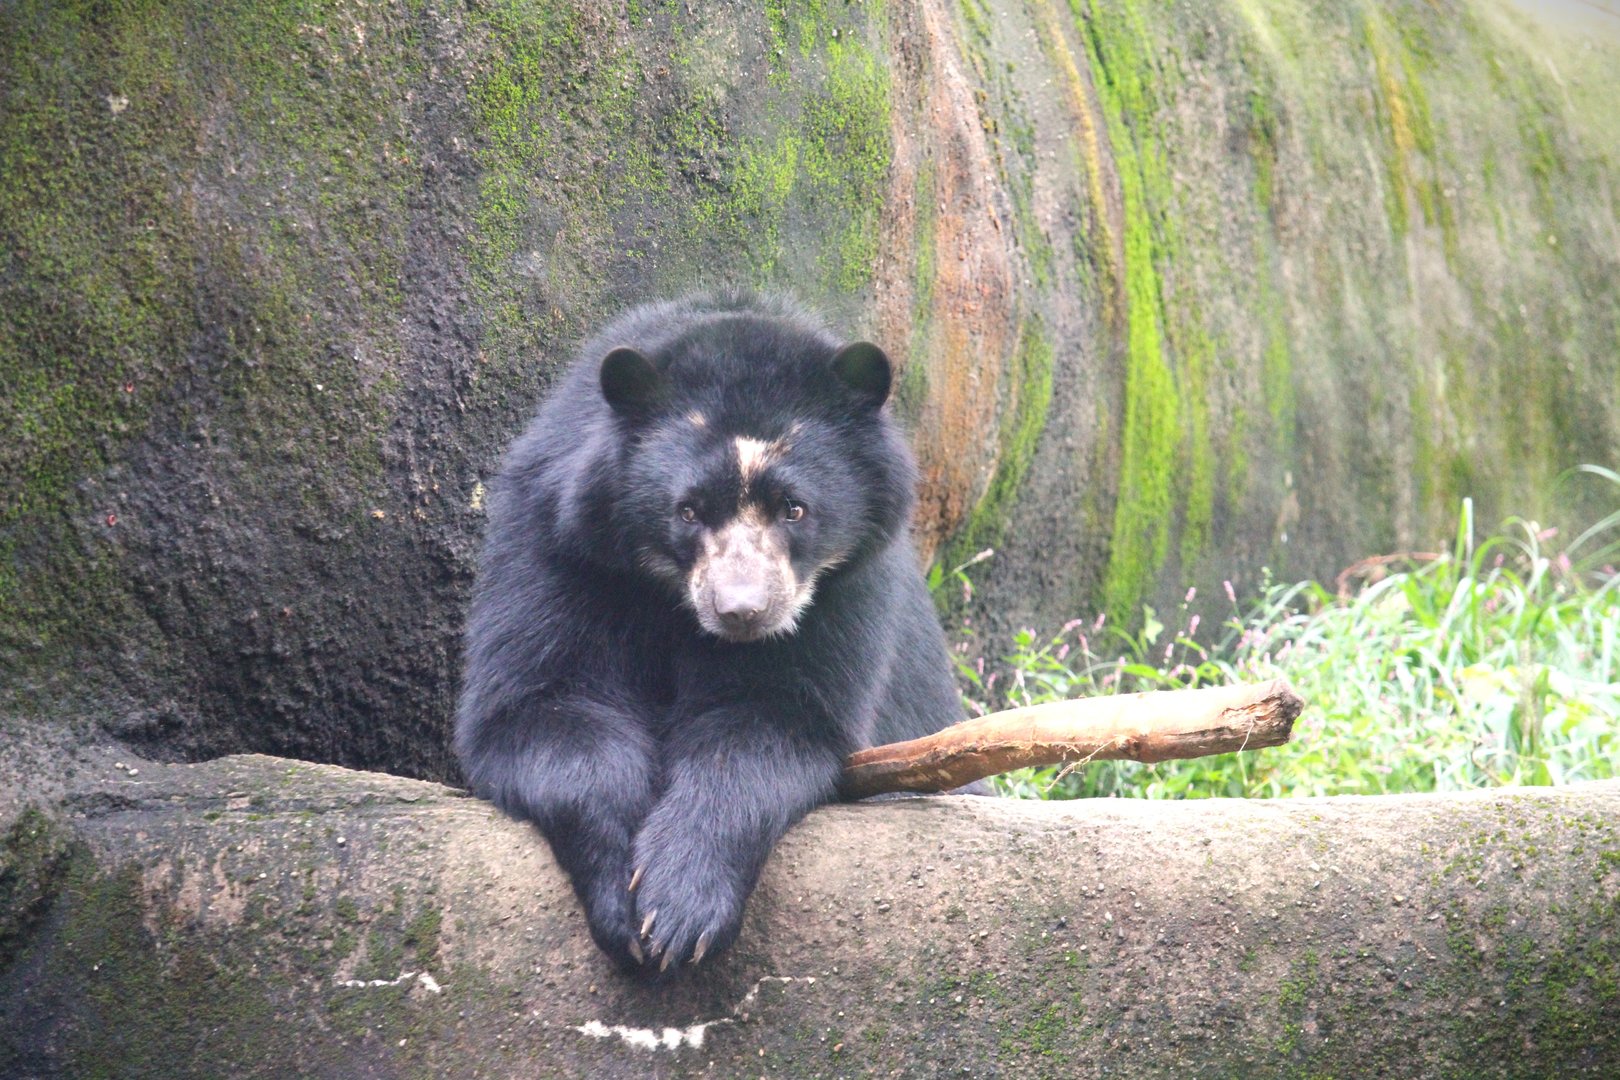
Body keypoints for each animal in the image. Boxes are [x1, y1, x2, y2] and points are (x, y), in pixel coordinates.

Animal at [455, 292, 967, 976]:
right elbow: (542, 704)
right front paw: (626, 902)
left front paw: (677, 912)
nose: (743, 611)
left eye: (794, 509)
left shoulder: (845, 591)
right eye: (688, 510)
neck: (673, 604)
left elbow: (775, 719)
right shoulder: (557, 548)